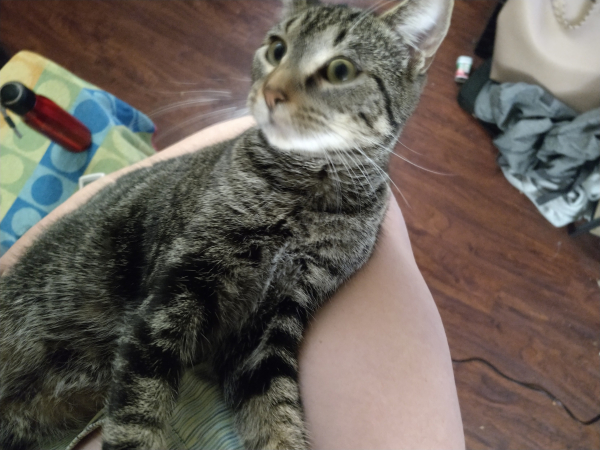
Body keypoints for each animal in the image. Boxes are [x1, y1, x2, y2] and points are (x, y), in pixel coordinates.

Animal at [0, 1, 450, 448]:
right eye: (276, 49)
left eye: (341, 70)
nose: (271, 91)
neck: (307, 192)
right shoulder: (177, 289)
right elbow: (138, 412)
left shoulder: (272, 326)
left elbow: (277, 413)